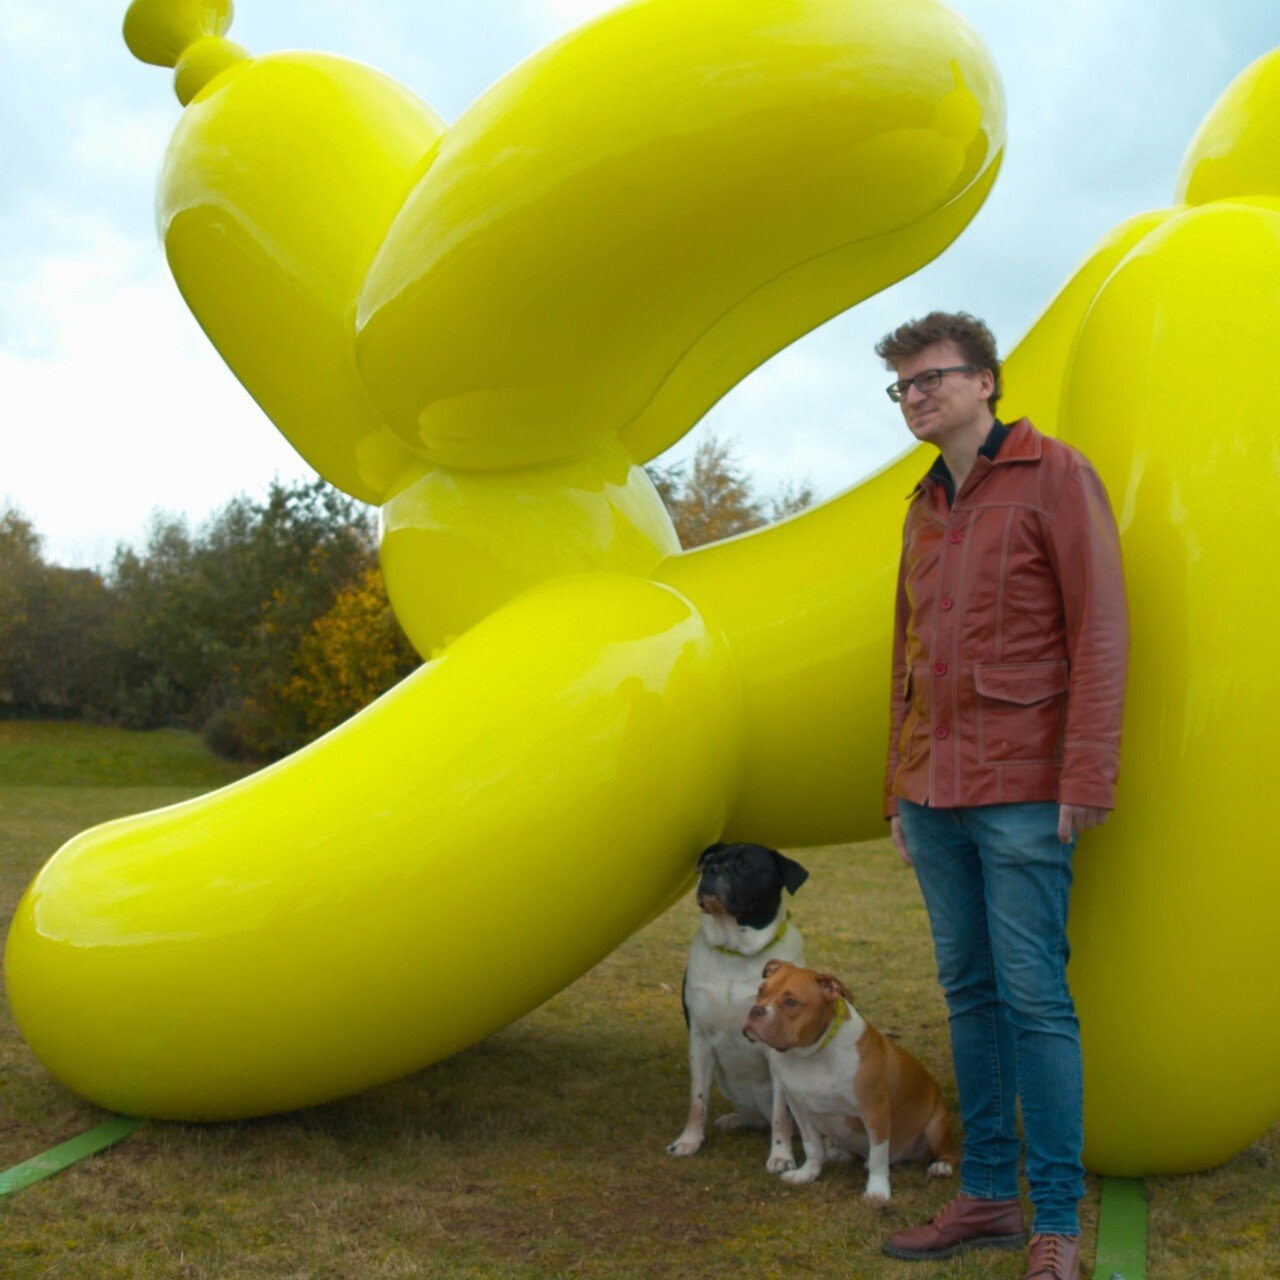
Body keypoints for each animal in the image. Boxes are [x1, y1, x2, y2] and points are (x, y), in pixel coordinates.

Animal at [667, 842, 809, 1172]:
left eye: (745, 864)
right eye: (711, 859)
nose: (710, 870)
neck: (735, 953)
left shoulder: (776, 1047)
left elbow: (781, 1114)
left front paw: (781, 1156)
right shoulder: (700, 1039)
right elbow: (697, 1099)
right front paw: (689, 1141)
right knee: (759, 1118)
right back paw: (737, 1119)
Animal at [743, 959, 958, 1201]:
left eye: (791, 1002)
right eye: (761, 990)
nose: (756, 1010)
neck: (811, 1055)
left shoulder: (875, 1111)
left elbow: (878, 1155)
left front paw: (877, 1190)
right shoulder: (800, 1109)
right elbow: (812, 1147)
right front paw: (807, 1173)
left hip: (936, 1125)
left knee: (948, 1151)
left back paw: (942, 1166)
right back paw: (839, 1153)